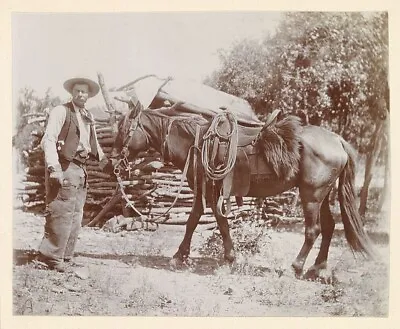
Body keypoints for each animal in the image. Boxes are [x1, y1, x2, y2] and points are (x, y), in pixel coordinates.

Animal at [109, 106, 376, 278]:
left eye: (124, 129)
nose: (112, 164)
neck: (197, 143)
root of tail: (337, 140)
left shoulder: (210, 190)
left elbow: (212, 221)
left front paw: (223, 257)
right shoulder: (205, 191)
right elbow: (197, 219)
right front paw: (184, 255)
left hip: (311, 195)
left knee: (313, 231)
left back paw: (296, 268)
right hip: (323, 196)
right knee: (329, 227)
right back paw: (317, 268)